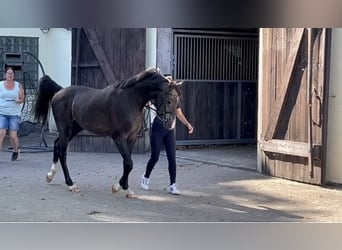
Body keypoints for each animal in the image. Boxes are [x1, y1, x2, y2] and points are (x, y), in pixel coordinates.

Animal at [33, 68, 180, 197]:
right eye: (169, 100)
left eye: (178, 100)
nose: (170, 124)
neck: (130, 99)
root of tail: (60, 91)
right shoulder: (118, 137)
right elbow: (129, 163)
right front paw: (117, 187)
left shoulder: (131, 138)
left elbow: (127, 163)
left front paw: (126, 188)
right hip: (65, 128)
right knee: (62, 152)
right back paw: (71, 184)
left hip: (74, 128)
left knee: (57, 145)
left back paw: (50, 175)